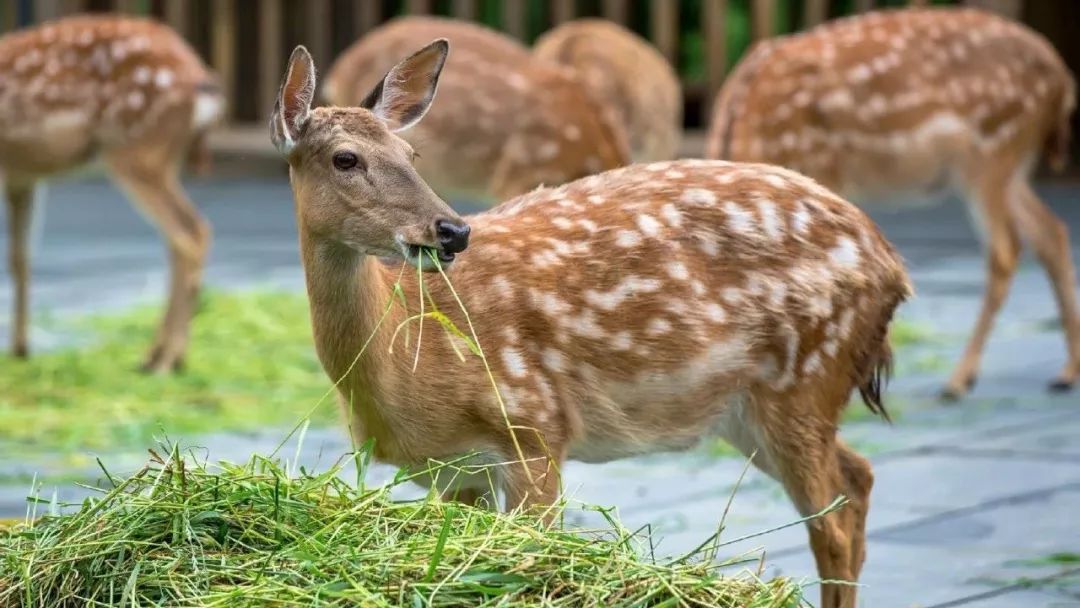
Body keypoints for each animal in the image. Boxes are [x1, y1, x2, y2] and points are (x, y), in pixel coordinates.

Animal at [0, 14, 223, 373]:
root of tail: (198, 75)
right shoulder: (23, 176)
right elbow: (20, 258)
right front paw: (20, 349)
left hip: (134, 150)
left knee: (189, 233)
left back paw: (165, 360)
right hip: (159, 157)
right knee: (184, 235)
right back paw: (161, 356)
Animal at [270, 42, 911, 608]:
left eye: (412, 155)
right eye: (346, 158)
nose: (452, 231)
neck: (412, 372)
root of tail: (891, 264)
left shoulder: (534, 426)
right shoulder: (450, 470)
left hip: (804, 376)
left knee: (832, 524)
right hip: (749, 408)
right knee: (858, 479)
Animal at [708, 7, 1080, 401]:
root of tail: (1062, 79)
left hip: (992, 149)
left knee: (1007, 249)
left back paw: (958, 380)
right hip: (1010, 165)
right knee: (1051, 231)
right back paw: (1065, 372)